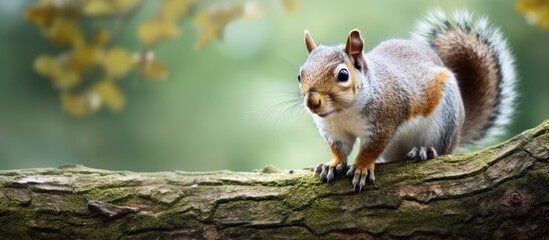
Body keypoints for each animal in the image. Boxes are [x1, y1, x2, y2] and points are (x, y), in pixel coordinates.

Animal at [298, 10, 516, 192]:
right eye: (300, 75)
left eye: (343, 75)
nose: (312, 102)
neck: (344, 113)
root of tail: (458, 135)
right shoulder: (334, 130)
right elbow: (339, 149)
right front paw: (332, 164)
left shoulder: (385, 120)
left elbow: (372, 148)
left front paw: (362, 167)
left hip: (445, 121)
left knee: (441, 149)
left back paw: (425, 150)